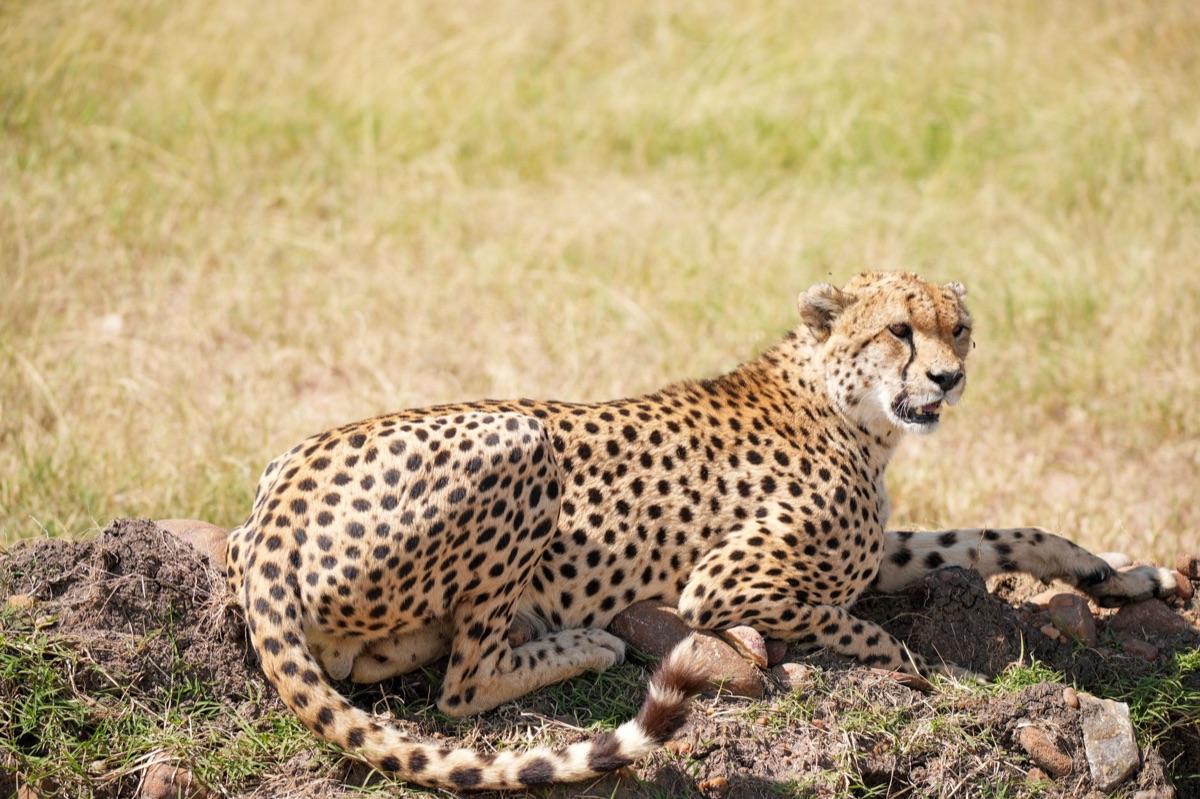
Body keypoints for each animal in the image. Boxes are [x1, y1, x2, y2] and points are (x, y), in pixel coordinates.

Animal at [226, 270, 1176, 792]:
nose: (948, 378)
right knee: (463, 687)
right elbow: (869, 634)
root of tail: (272, 517)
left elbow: (1001, 536)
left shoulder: (876, 553)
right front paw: (915, 671)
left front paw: (1126, 574)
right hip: (518, 437)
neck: (848, 405)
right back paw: (583, 642)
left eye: (960, 328)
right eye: (899, 331)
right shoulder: (724, 583)